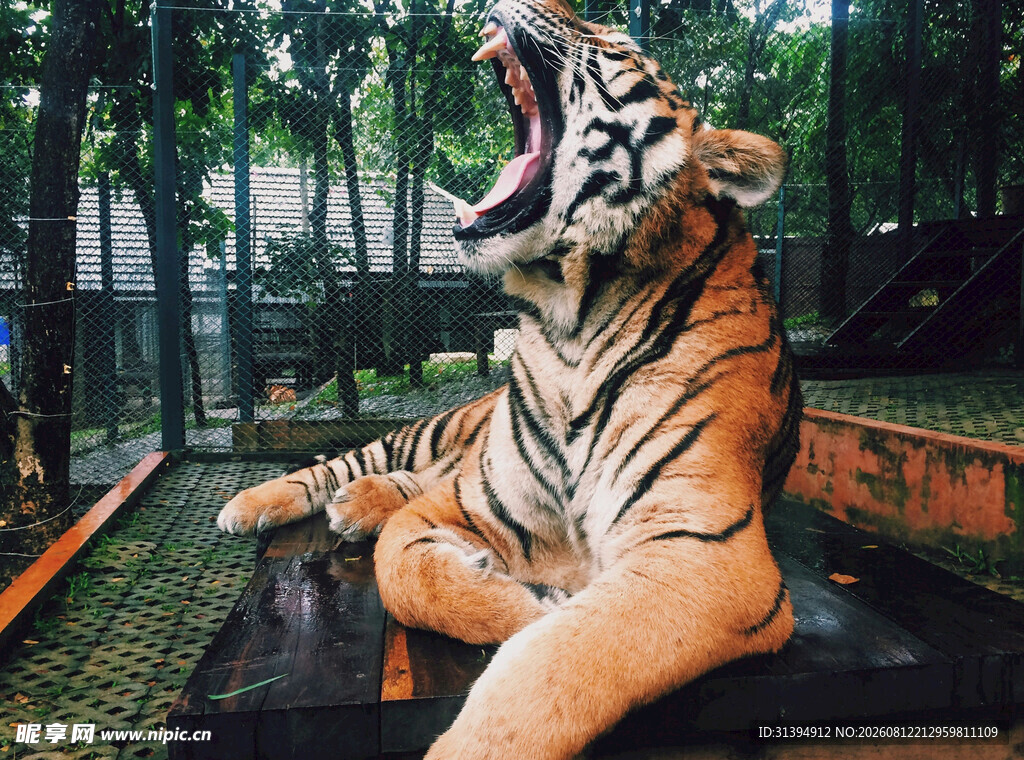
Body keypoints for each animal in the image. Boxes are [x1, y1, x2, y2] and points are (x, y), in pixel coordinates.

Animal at [217, 0, 801, 756]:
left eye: (616, 42)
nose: (548, 4)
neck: (569, 322)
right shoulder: (474, 500)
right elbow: (403, 568)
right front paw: (526, 599)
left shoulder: (706, 553)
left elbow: (561, 657)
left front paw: (546, 616)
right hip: (433, 432)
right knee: (347, 464)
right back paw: (256, 504)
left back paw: (356, 506)